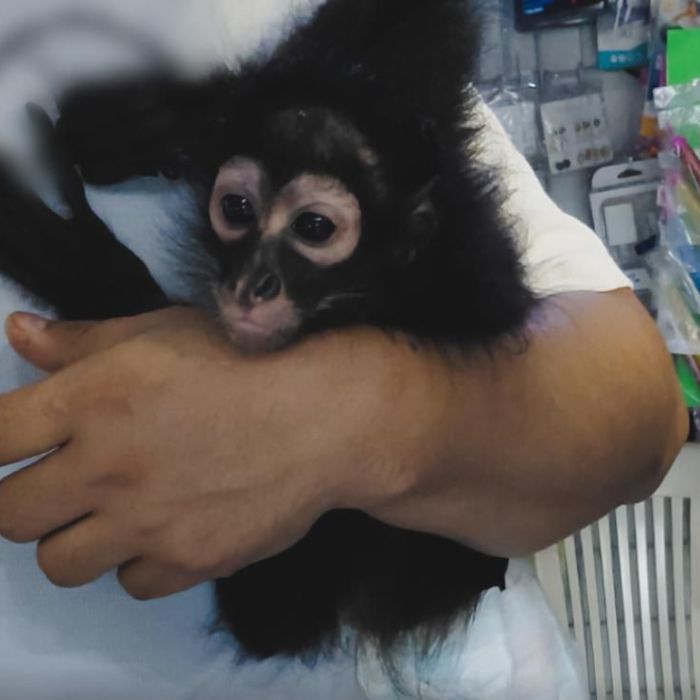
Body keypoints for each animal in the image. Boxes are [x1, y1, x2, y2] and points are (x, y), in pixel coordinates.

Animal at [0, 0, 537, 664]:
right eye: (236, 210)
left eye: (314, 227)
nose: (251, 284)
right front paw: (160, 121)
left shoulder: (464, 274)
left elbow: (275, 620)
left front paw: (66, 249)